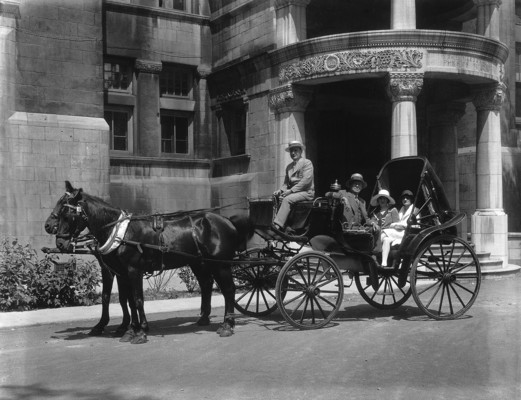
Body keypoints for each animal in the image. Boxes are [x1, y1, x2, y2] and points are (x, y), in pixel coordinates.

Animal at [49, 183, 252, 342]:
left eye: (67, 214)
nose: (60, 243)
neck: (120, 232)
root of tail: (227, 220)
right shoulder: (122, 272)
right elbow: (128, 300)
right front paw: (130, 329)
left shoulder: (133, 270)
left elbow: (137, 299)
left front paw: (140, 331)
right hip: (200, 263)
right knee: (207, 285)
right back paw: (204, 319)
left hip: (221, 264)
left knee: (229, 290)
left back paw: (228, 324)